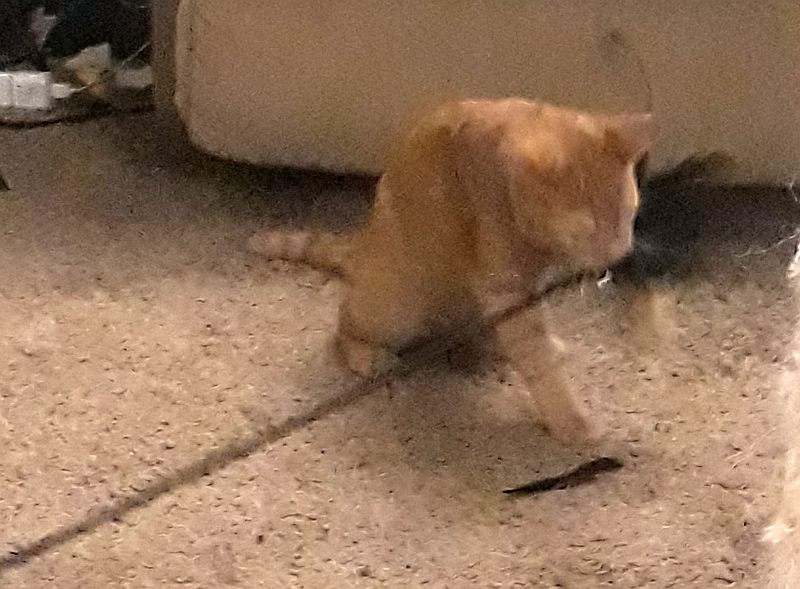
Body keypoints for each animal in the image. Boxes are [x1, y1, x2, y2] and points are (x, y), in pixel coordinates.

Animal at [249, 98, 653, 445]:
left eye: (628, 215)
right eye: (588, 229)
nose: (620, 253)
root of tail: (362, 248)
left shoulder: (522, 291)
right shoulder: (506, 287)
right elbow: (537, 357)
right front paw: (571, 421)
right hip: (399, 306)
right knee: (343, 330)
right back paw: (370, 356)